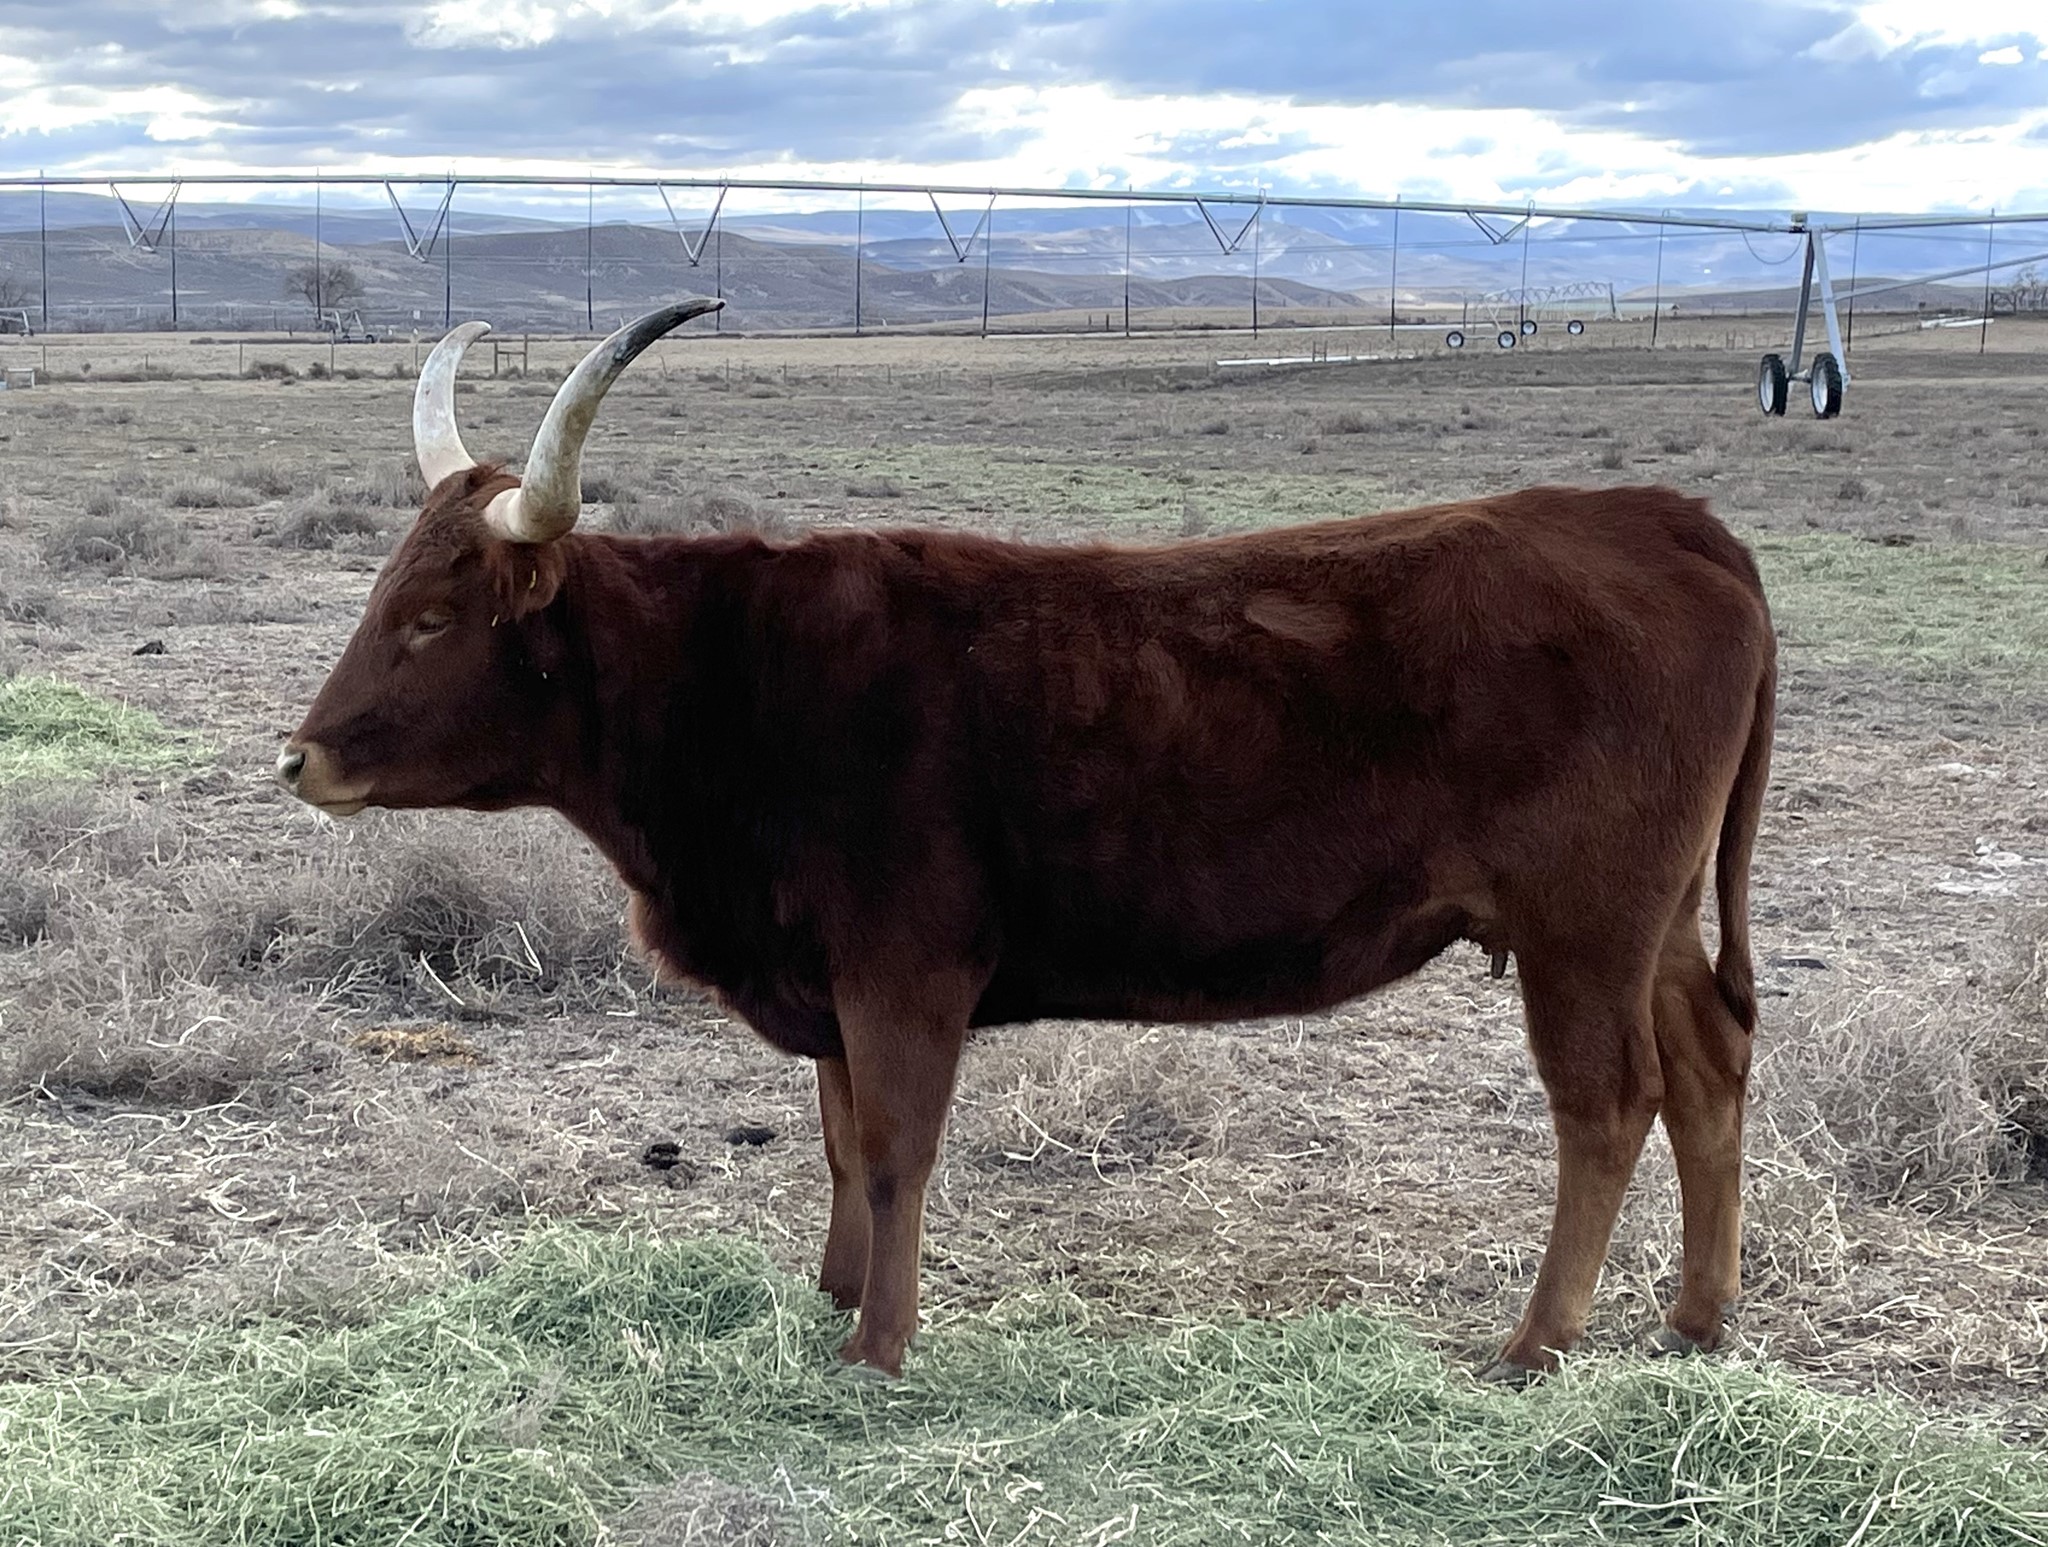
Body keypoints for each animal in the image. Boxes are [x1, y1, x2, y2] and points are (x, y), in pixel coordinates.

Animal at [279, 300, 1776, 1380]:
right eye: (384, 592)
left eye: (432, 618)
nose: (299, 756)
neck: (740, 676)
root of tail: (1657, 517)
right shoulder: (829, 979)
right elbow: (838, 1142)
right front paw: (828, 1288)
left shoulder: (905, 972)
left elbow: (895, 1145)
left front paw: (877, 1344)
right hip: (1652, 922)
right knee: (1708, 1066)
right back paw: (1695, 1320)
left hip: (1581, 926)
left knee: (1607, 1103)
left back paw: (1538, 1341)